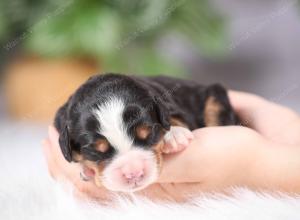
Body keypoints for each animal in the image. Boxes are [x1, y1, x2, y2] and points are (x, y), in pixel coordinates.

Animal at [55, 73, 240, 192]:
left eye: (148, 134)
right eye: (95, 152)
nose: (133, 173)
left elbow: (174, 118)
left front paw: (174, 135)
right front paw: (85, 169)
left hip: (215, 99)